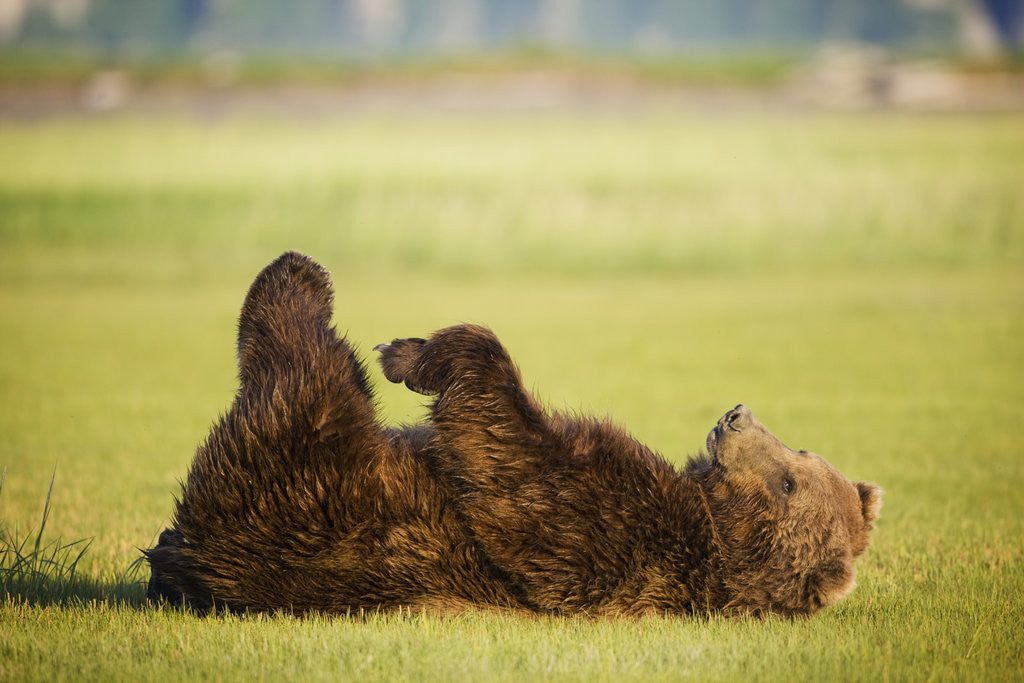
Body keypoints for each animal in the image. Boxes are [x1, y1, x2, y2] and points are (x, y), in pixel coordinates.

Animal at [146, 252, 881, 617]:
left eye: (789, 481)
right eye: (804, 455)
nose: (737, 415)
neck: (716, 521)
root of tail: (195, 558)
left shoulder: (618, 532)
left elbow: (515, 465)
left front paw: (414, 353)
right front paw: (412, 345)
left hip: (300, 487)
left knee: (302, 373)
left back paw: (300, 278)